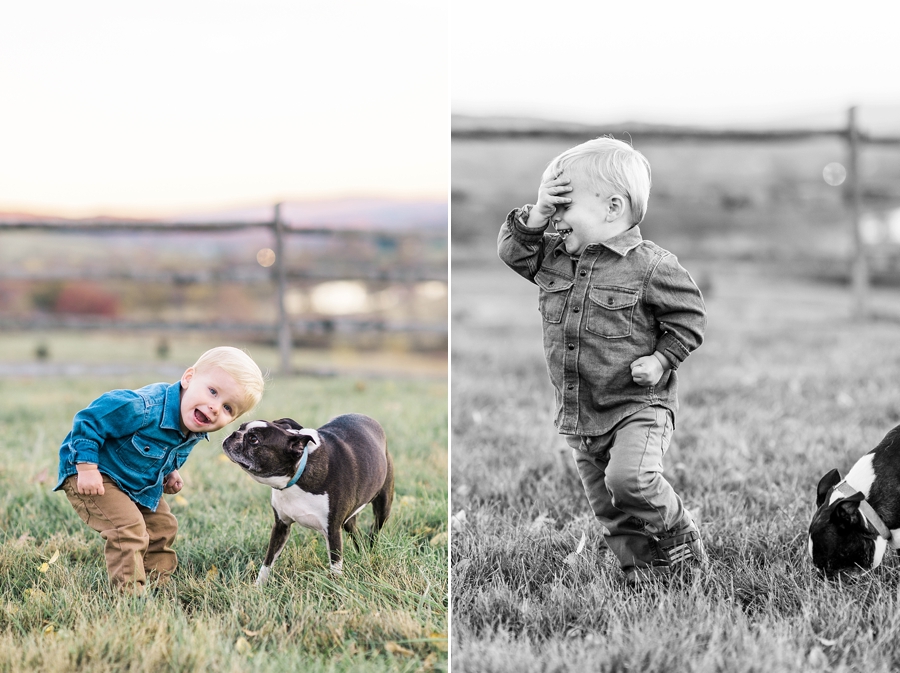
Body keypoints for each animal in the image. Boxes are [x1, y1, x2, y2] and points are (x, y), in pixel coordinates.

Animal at [222, 412, 394, 580]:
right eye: (241, 427)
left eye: (253, 439)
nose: (234, 433)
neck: (299, 472)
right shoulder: (281, 525)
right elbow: (268, 561)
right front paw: (259, 586)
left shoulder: (332, 531)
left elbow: (335, 566)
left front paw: (335, 586)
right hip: (348, 519)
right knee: (355, 531)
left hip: (383, 506)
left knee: (375, 529)